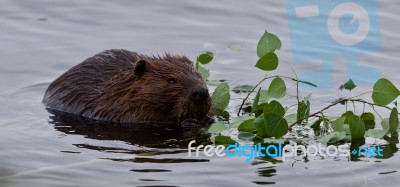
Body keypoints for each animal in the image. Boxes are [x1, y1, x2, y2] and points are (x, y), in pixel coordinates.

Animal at [41, 49, 212, 125]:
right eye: (171, 80)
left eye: (199, 75)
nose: (200, 92)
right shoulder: (118, 110)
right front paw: (189, 122)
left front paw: (207, 118)